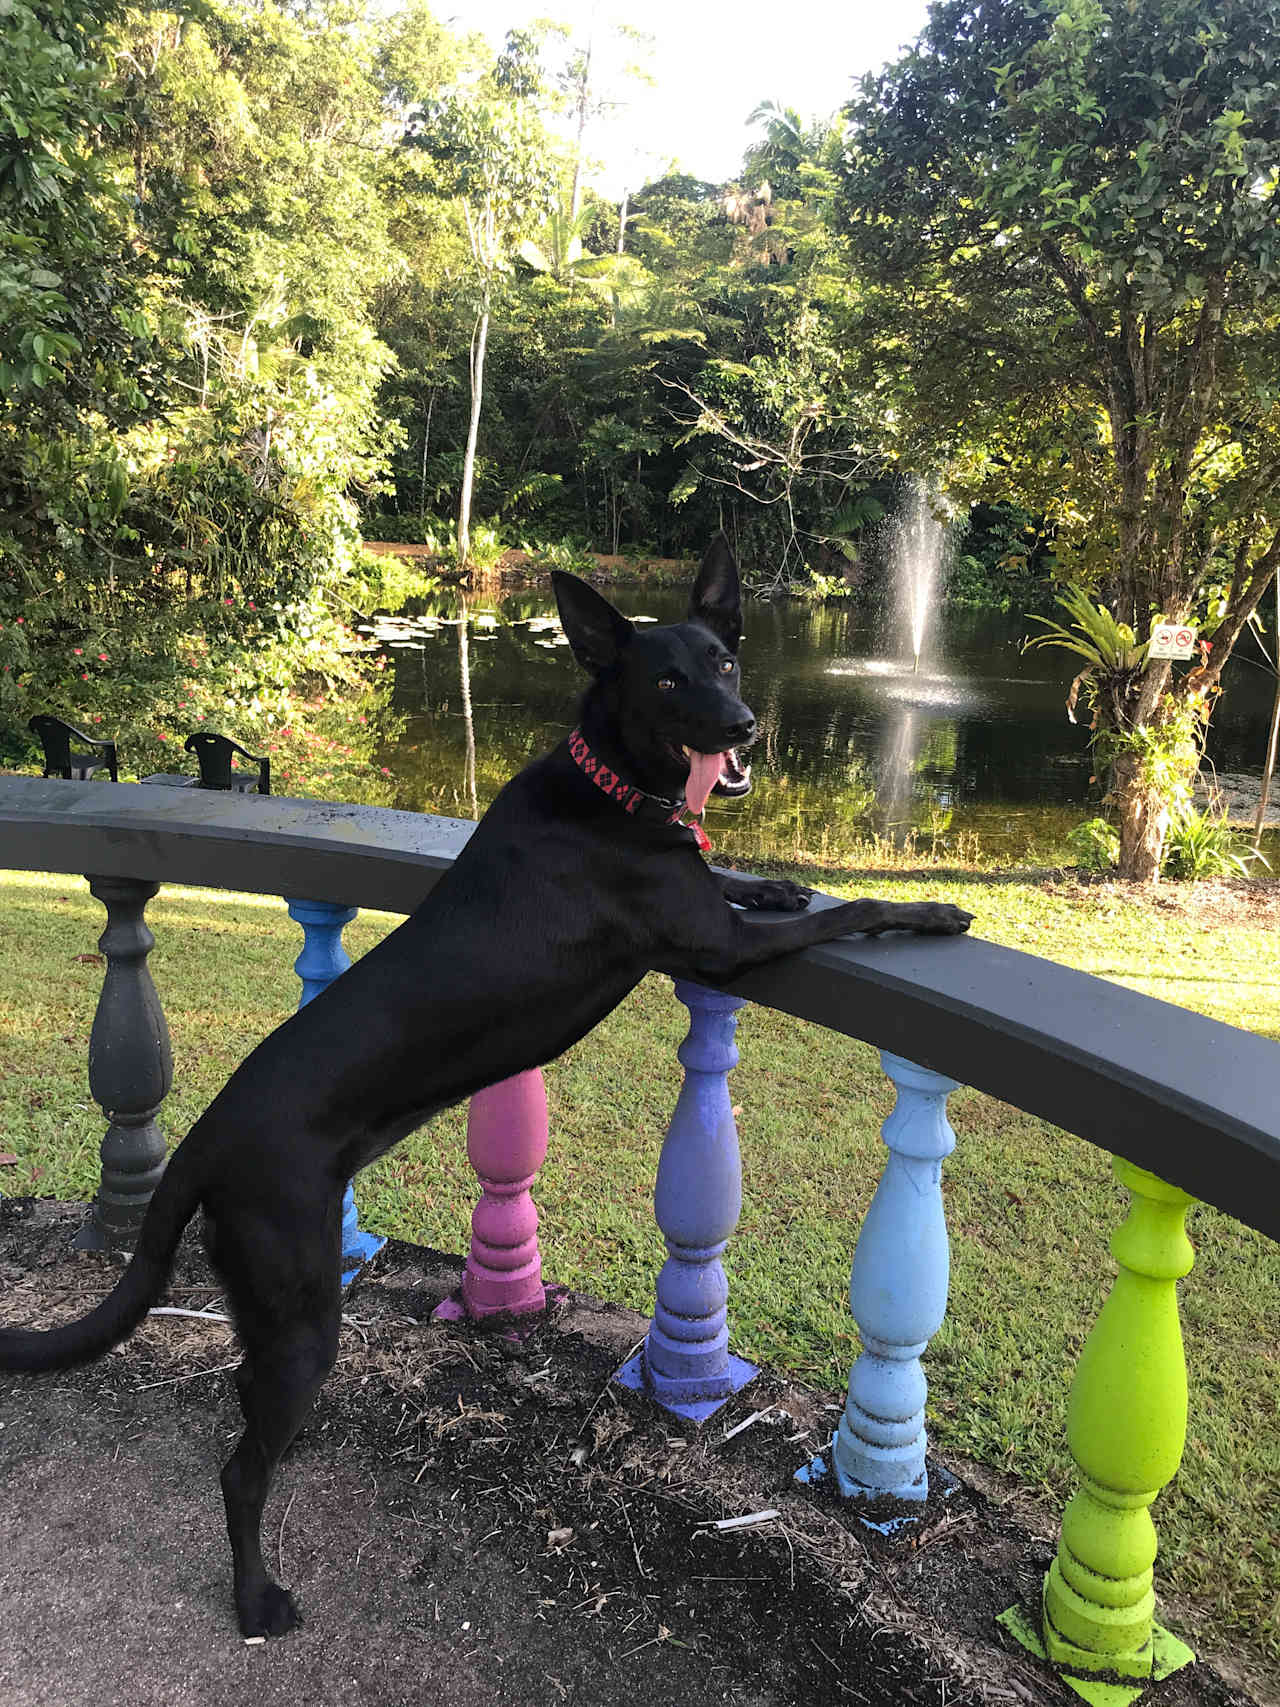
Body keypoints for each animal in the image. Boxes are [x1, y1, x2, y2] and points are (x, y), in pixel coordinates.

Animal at [0, 535, 969, 1638]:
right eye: (666, 680)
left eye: (723, 658)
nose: (741, 725)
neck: (613, 785)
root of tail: (203, 1141)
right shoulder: (710, 943)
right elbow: (848, 909)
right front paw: (929, 911)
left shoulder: (704, 897)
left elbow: (752, 882)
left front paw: (772, 876)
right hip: (298, 1300)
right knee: (242, 1469)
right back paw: (256, 1595)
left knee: (245, 1400)